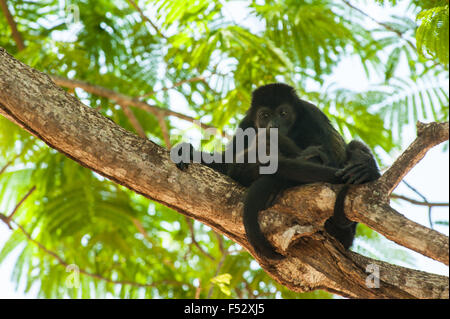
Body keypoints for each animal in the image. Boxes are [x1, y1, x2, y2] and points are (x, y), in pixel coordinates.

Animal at [175, 84, 380, 262]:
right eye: (265, 115)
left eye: (283, 113)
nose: (273, 124)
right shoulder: (245, 125)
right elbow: (228, 166)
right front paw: (189, 152)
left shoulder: (312, 115)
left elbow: (328, 157)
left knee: (354, 146)